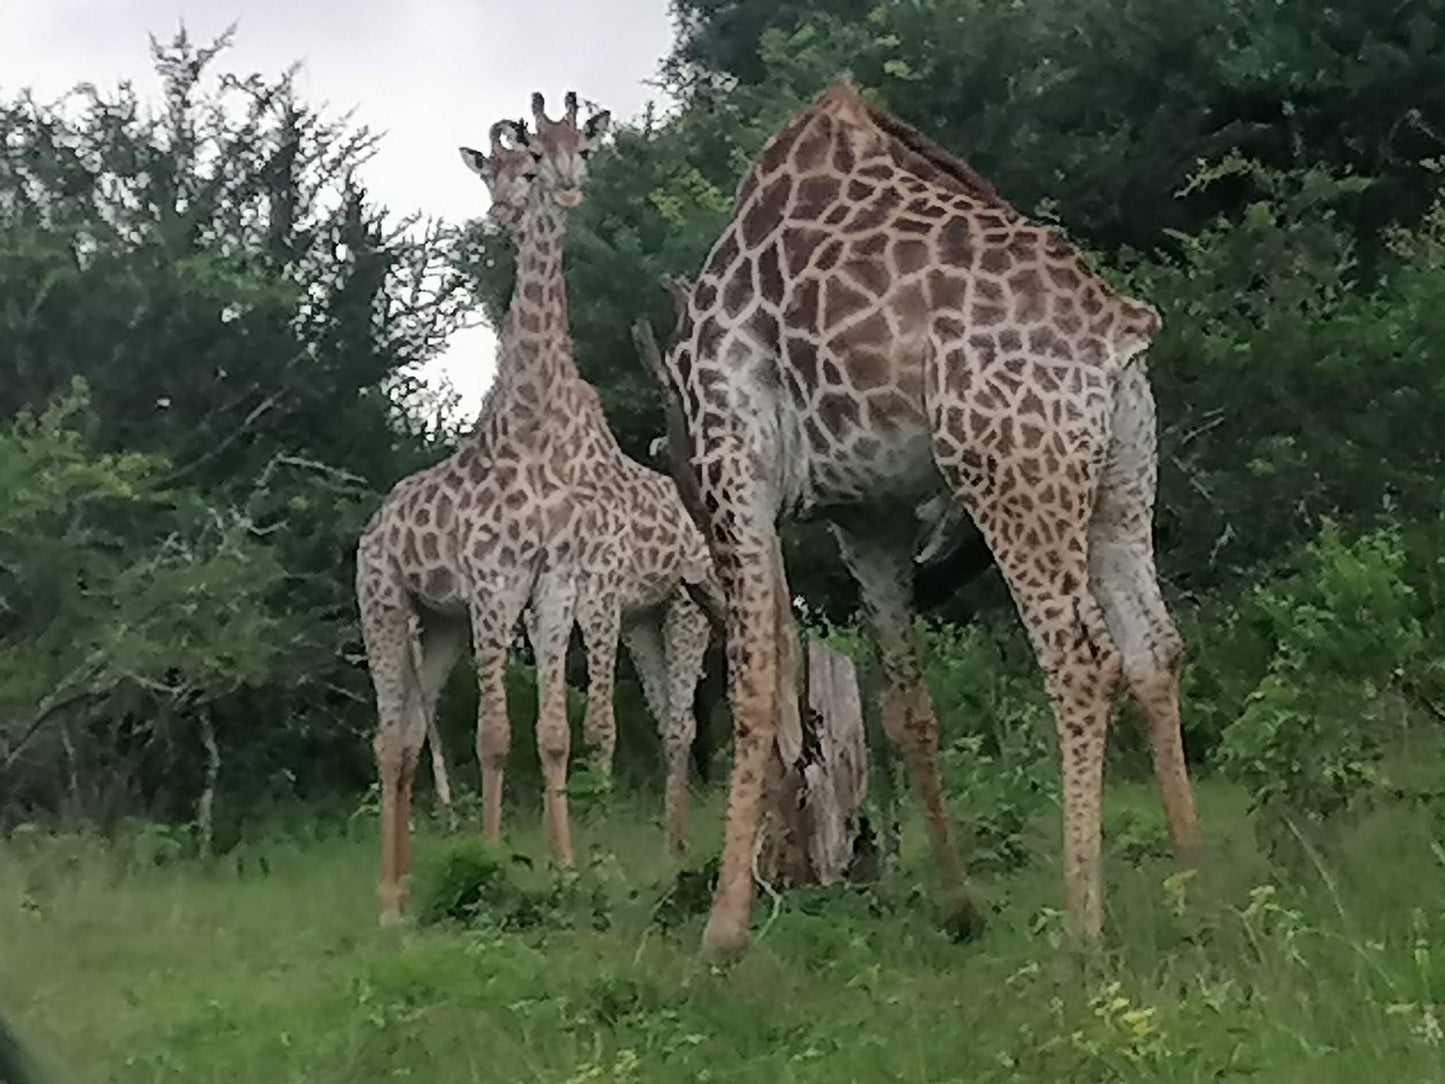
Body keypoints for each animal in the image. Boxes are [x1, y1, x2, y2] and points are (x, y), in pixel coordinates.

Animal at [661, 76, 1202, 965]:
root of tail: (1115, 333)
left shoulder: (734, 456)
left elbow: (754, 678)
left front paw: (721, 933)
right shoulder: (868, 514)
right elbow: (904, 703)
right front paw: (960, 910)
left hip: (1010, 467)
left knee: (1081, 657)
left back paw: (1082, 932)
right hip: (1119, 480)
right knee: (1153, 647)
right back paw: (1205, 890)